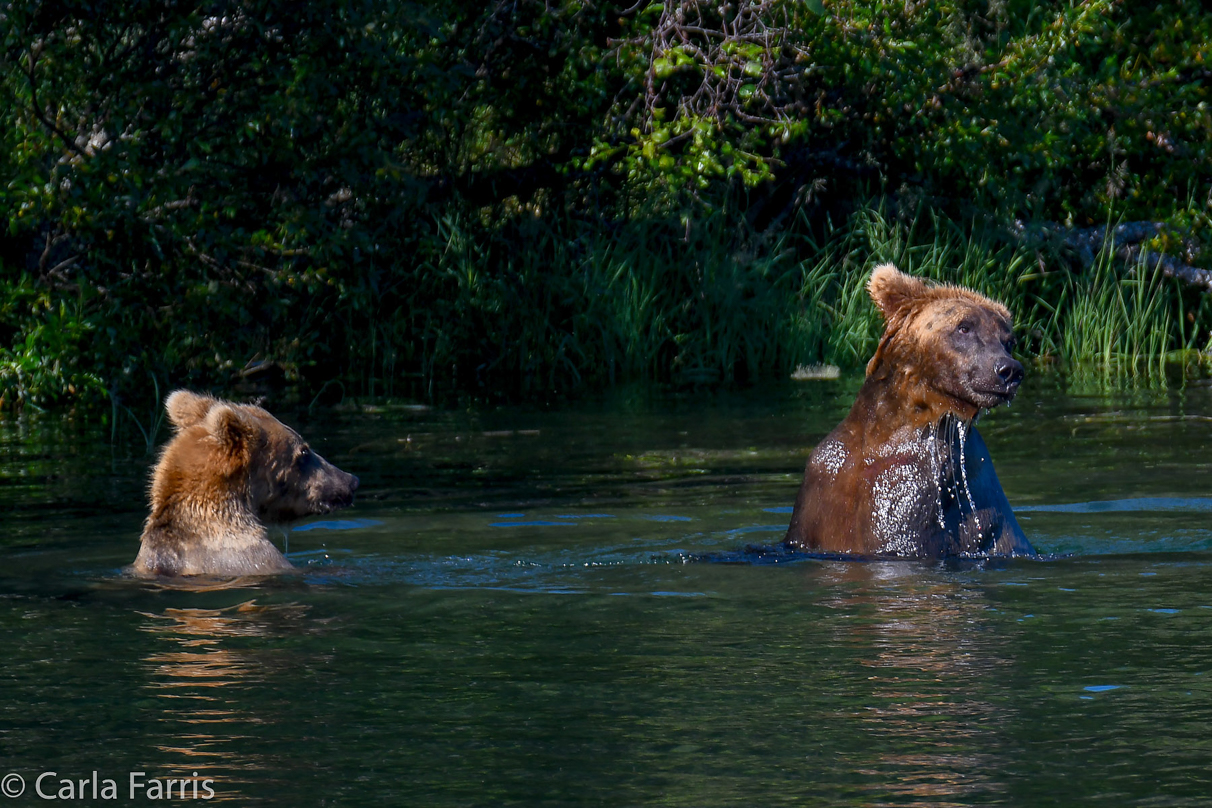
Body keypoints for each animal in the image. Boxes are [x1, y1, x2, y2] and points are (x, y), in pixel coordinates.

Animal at [785, 264, 1032, 557]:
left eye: (1008, 341)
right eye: (964, 326)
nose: (1009, 370)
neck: (888, 430)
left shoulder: (920, 491)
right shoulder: (825, 482)